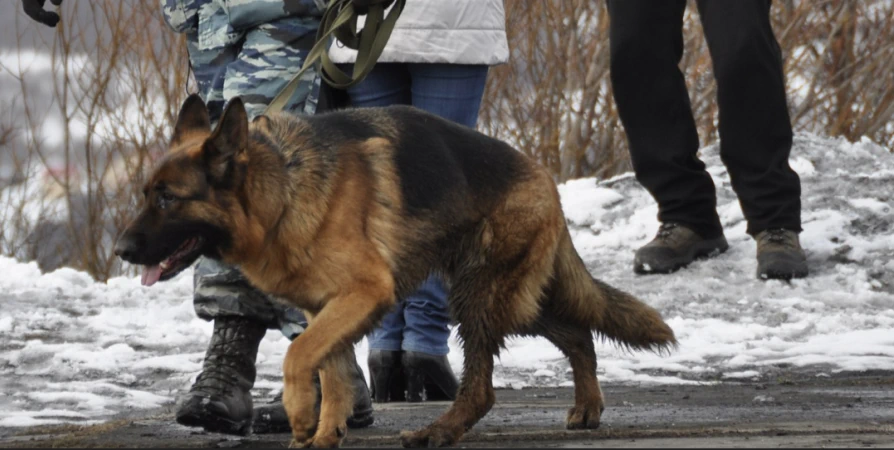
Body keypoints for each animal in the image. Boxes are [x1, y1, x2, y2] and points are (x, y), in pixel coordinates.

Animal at [115, 95, 676, 446]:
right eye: (145, 194)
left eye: (167, 199)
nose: (120, 248)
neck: (281, 189)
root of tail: (543, 176)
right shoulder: (327, 309)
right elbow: (332, 372)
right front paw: (325, 435)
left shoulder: (363, 294)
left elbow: (300, 355)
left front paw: (300, 415)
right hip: (510, 295)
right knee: (577, 333)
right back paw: (588, 406)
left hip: (481, 295)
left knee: (484, 387)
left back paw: (439, 432)